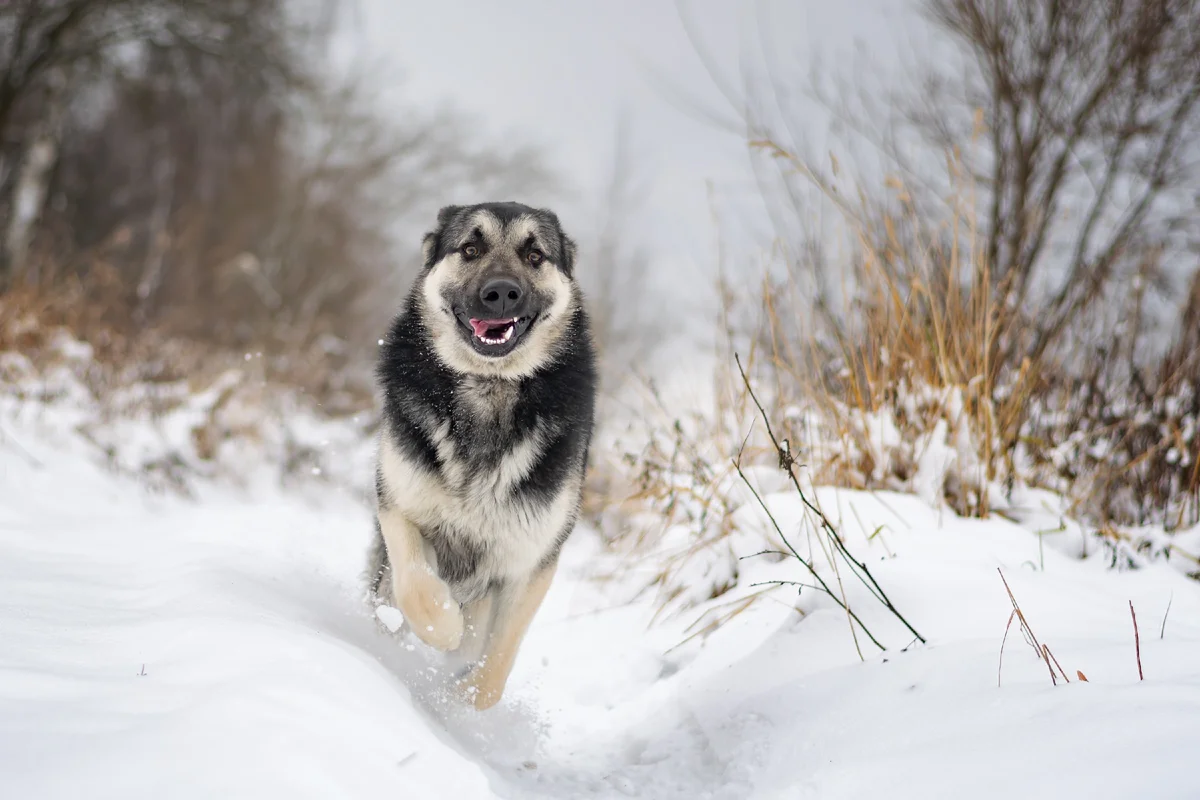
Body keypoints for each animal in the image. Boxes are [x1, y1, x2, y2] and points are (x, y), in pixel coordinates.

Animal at [362, 203, 592, 710]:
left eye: (534, 255)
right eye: (470, 248)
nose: (502, 293)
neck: (489, 387)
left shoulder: (531, 563)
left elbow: (494, 669)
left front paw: (462, 705)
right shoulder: (398, 507)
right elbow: (419, 588)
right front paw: (442, 625)